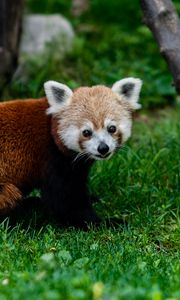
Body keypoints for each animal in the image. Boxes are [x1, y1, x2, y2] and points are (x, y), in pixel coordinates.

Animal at [0, 77, 142, 227]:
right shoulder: (53, 161)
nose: (103, 148)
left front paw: (93, 199)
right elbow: (67, 203)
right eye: (86, 132)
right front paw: (105, 222)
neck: (51, 130)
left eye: (112, 128)